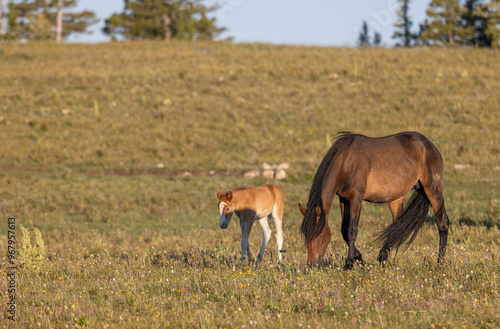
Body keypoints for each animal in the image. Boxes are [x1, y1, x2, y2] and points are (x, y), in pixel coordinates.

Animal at [298, 131, 452, 270]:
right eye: (305, 234)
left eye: (318, 233)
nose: (312, 264)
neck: (346, 161)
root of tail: (429, 145)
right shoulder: (344, 199)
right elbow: (344, 231)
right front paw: (360, 260)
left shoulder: (356, 198)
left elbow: (351, 230)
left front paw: (349, 264)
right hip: (396, 198)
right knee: (398, 226)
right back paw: (384, 258)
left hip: (433, 190)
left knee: (442, 223)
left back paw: (440, 263)